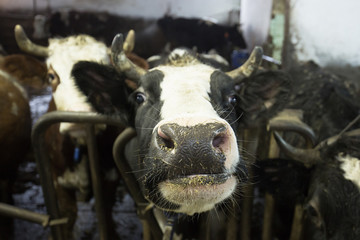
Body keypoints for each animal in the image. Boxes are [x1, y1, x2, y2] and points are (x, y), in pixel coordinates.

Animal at [14, 24, 148, 240]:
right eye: (51, 76)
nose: (80, 116)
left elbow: (106, 212)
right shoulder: (58, 181)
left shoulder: (110, 178)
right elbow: (68, 216)